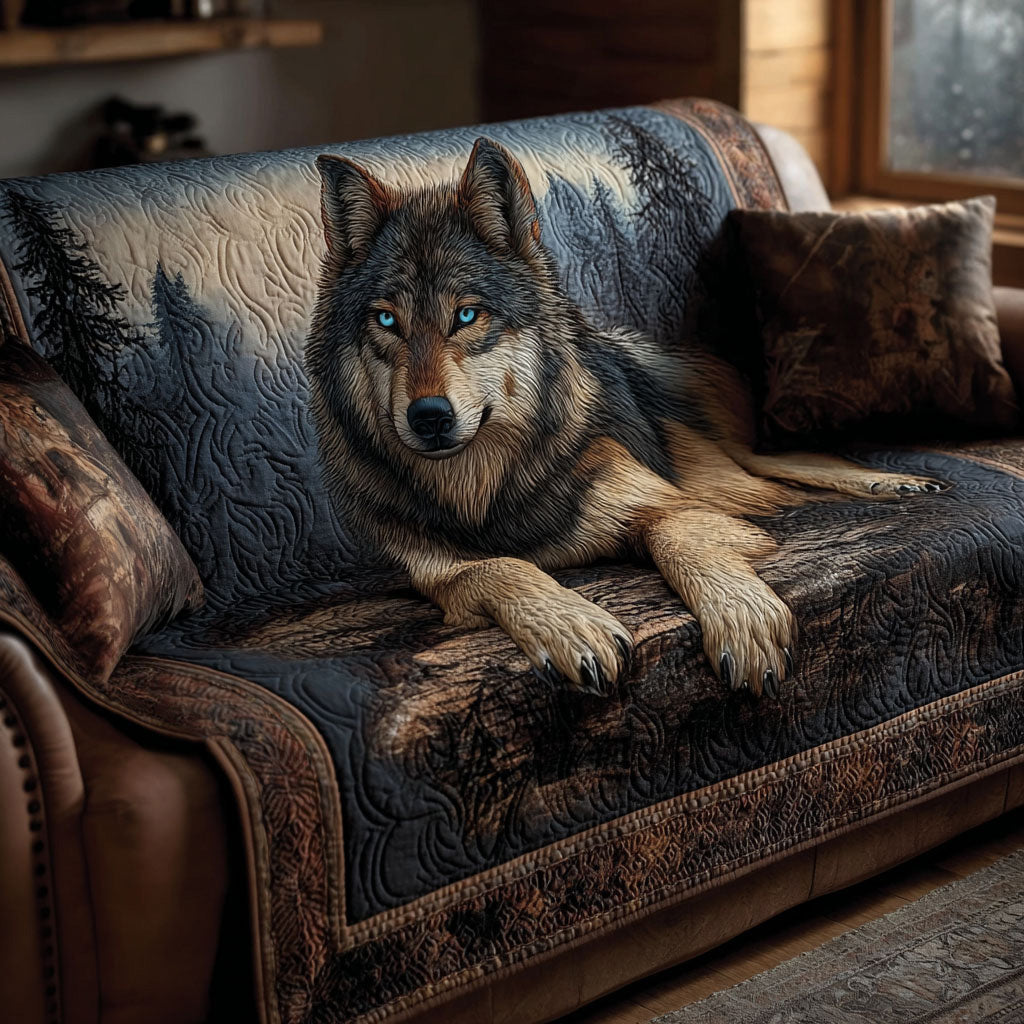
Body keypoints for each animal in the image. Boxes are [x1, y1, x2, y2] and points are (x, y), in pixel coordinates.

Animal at [305, 137, 943, 698]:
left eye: (466, 315)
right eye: (387, 321)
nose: (429, 417)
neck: (481, 488)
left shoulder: (673, 504)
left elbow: (675, 536)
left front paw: (740, 615)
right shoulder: (433, 573)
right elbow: (499, 569)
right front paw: (570, 624)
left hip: (739, 451)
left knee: (792, 463)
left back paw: (895, 482)